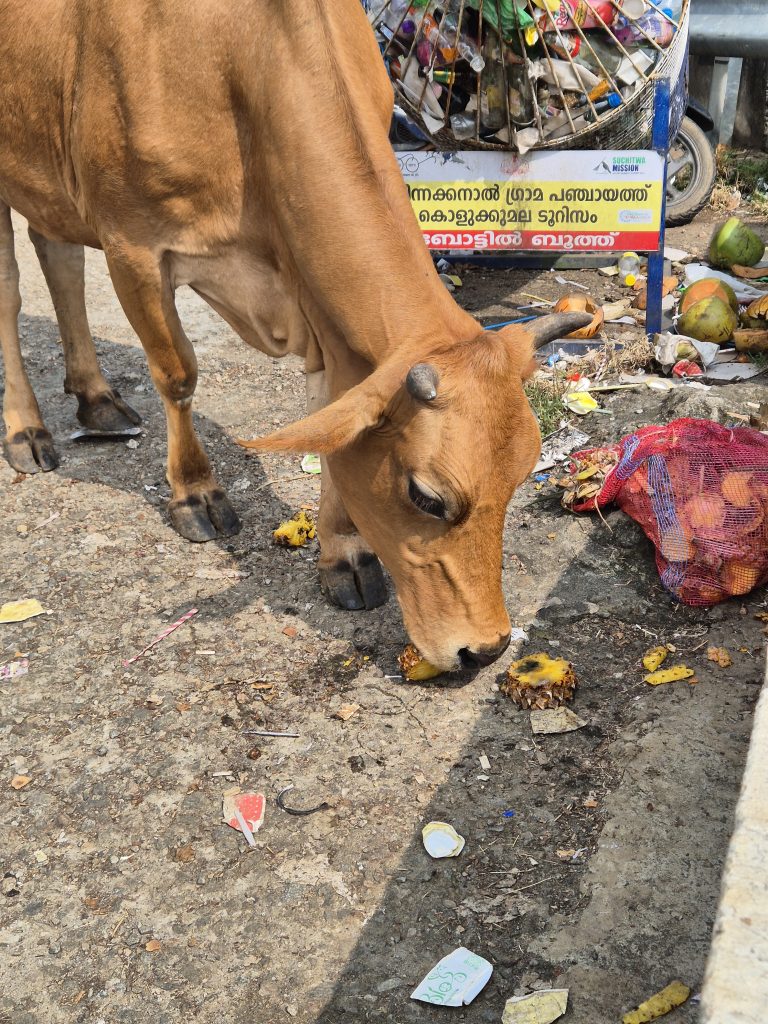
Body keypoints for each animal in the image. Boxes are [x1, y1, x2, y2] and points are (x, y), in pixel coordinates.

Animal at [0, 0, 588, 671]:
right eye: (426, 497)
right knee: (12, 289)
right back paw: (27, 431)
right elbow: (177, 375)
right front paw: (194, 494)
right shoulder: (134, 248)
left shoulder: (315, 304)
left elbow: (330, 415)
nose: (486, 649)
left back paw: (95, 398)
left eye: (519, 479)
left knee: (57, 252)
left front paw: (344, 554)